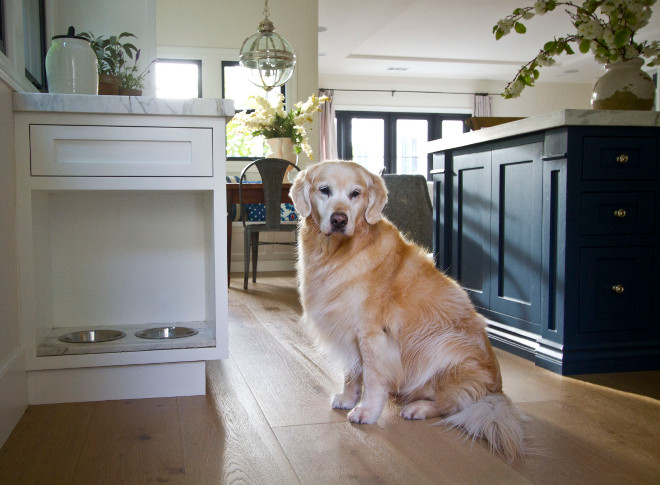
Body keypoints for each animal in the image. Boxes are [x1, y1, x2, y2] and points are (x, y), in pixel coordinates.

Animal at [288, 160, 524, 462]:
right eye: (324, 190)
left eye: (355, 194)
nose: (339, 220)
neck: (336, 252)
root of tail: (497, 392)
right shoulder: (349, 331)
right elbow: (352, 372)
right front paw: (348, 398)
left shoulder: (373, 334)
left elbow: (372, 377)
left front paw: (366, 411)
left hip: (444, 345)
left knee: (454, 404)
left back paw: (418, 408)